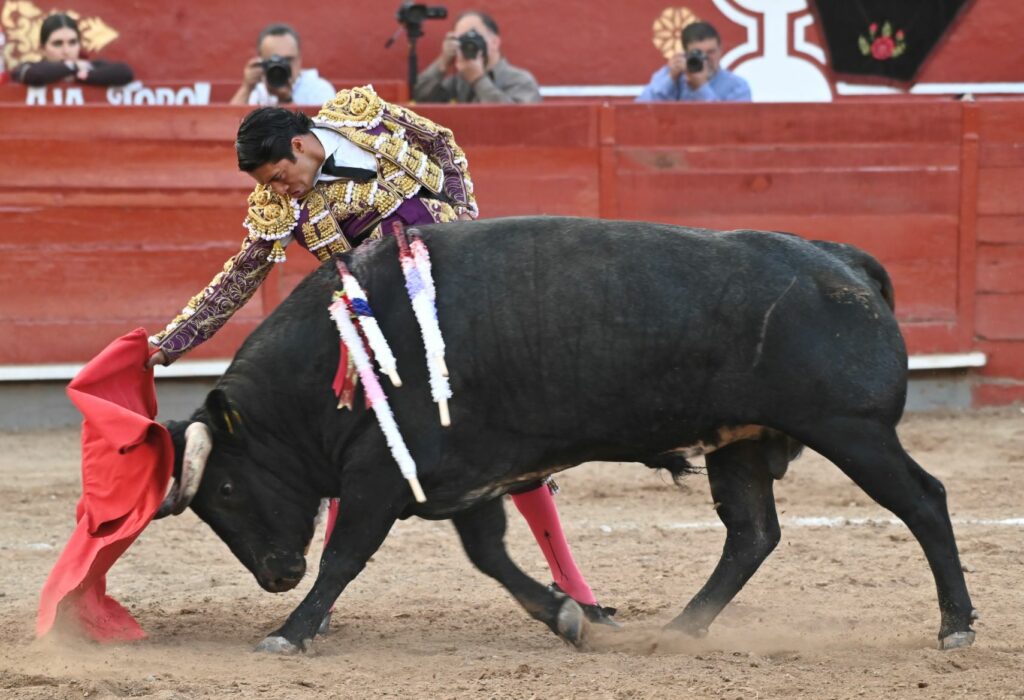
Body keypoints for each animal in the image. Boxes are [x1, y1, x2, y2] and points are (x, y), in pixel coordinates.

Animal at [156, 216, 977, 654]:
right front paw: (567, 617)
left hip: (854, 432)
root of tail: (842, 260)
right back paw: (679, 629)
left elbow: (345, 556)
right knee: (752, 535)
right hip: (742, 444)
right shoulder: (464, 476)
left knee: (925, 502)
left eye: (225, 485)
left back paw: (956, 627)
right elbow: (490, 556)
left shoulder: (383, 474)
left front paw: (289, 630)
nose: (275, 574)